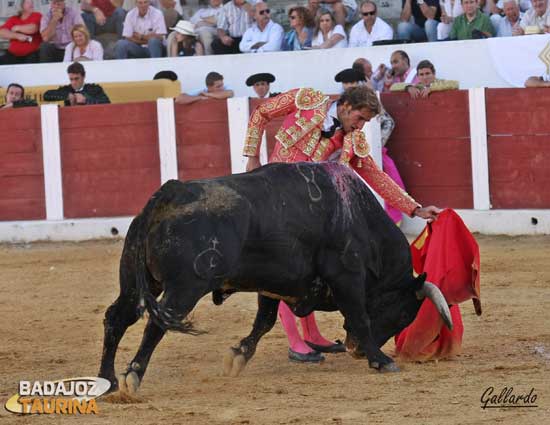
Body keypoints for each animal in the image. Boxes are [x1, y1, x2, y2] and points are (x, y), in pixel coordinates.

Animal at [99, 161, 452, 390]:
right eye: (403, 314)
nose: (357, 351)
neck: (360, 220)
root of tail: (169, 193)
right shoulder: (346, 276)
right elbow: (361, 317)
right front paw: (381, 360)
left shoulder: (272, 284)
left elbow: (264, 321)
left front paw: (239, 356)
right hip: (185, 288)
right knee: (157, 323)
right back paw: (132, 376)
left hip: (137, 281)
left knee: (118, 317)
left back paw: (108, 380)